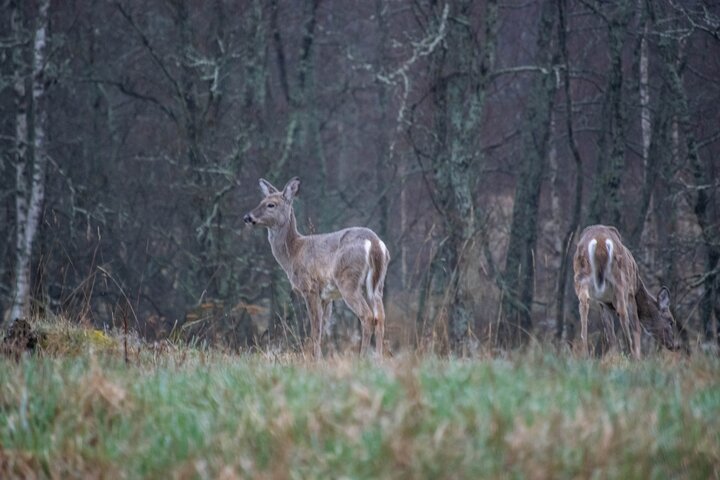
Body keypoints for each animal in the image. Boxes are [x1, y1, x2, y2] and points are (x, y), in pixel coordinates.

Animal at [243, 177, 390, 358]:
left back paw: (362, 358)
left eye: (271, 204)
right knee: (380, 317)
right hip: (377, 283)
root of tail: (375, 242)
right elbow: (323, 328)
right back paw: (378, 359)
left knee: (367, 316)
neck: (293, 252)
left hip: (348, 279)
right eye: (261, 201)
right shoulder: (327, 296)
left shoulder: (310, 287)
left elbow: (315, 328)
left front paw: (315, 359)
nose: (247, 217)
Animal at [573, 224, 679, 359]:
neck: (638, 285)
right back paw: (631, 353)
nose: (674, 345)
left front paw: (613, 357)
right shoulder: (630, 294)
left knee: (584, 305)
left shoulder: (603, 303)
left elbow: (610, 335)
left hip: (581, 276)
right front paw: (637, 356)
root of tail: (600, 243)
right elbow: (636, 326)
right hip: (620, 280)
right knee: (623, 312)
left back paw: (585, 354)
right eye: (670, 321)